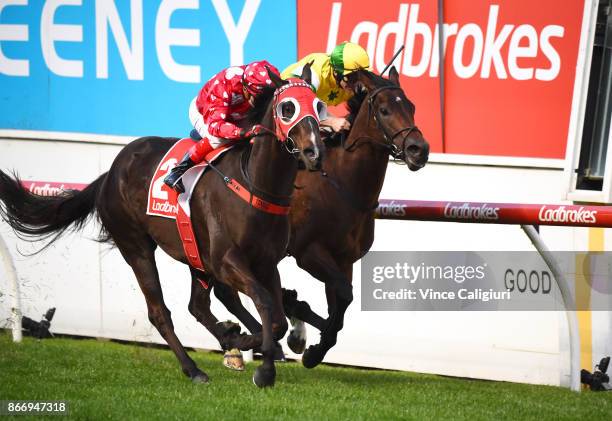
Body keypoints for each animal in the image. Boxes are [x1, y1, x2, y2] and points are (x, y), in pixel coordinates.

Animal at [0, 66, 326, 388]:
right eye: (287, 108)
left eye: (319, 106)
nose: (314, 152)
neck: (254, 185)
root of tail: (109, 175)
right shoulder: (226, 262)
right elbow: (265, 304)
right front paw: (263, 366)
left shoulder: (266, 263)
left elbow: (276, 318)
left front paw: (256, 347)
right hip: (136, 247)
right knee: (159, 312)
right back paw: (194, 368)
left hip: (195, 256)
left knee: (198, 306)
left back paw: (229, 338)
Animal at [186, 65, 430, 364]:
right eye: (384, 110)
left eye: (411, 106)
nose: (419, 149)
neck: (343, 183)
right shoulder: (309, 253)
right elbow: (342, 295)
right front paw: (309, 345)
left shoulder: (344, 259)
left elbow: (341, 302)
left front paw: (311, 340)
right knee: (224, 292)